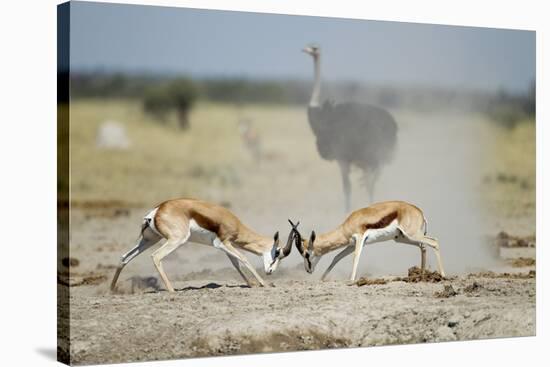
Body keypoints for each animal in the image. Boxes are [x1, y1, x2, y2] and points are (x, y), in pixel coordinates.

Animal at [109, 198, 298, 294]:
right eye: (278, 253)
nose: (271, 271)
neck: (233, 222)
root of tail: (156, 210)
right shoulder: (223, 242)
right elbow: (244, 259)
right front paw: (264, 284)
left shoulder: (224, 247)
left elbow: (236, 264)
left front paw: (251, 284)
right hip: (176, 240)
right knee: (156, 256)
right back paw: (172, 290)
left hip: (150, 239)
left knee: (124, 257)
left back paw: (112, 290)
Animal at [292, 201, 446, 282]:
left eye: (306, 254)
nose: (308, 270)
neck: (345, 226)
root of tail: (419, 211)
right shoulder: (351, 244)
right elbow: (337, 257)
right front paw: (322, 278)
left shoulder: (360, 239)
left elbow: (356, 257)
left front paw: (351, 280)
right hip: (402, 238)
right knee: (423, 246)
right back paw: (421, 276)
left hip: (411, 235)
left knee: (434, 241)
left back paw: (443, 275)